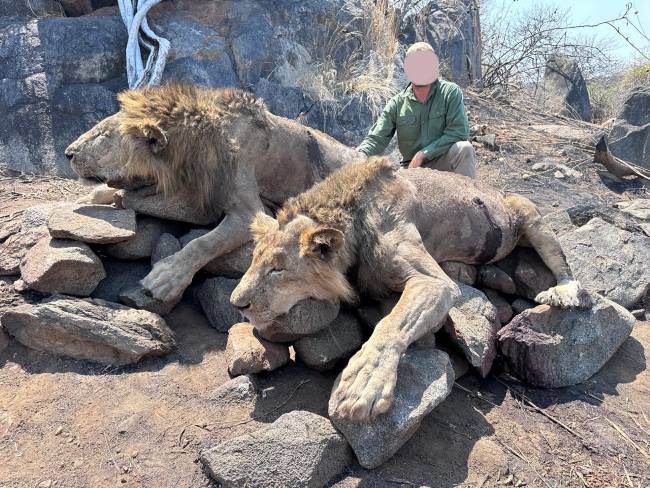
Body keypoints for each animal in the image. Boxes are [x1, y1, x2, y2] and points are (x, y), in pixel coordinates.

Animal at [65, 83, 361, 301]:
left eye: (103, 135)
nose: (68, 153)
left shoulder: (250, 213)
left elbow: (204, 243)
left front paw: (167, 276)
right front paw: (92, 196)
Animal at [230, 157, 591, 421]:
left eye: (278, 269)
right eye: (254, 259)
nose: (237, 303)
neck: (353, 213)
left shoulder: (433, 281)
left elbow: (393, 324)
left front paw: (364, 383)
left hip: (530, 214)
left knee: (564, 267)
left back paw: (563, 293)